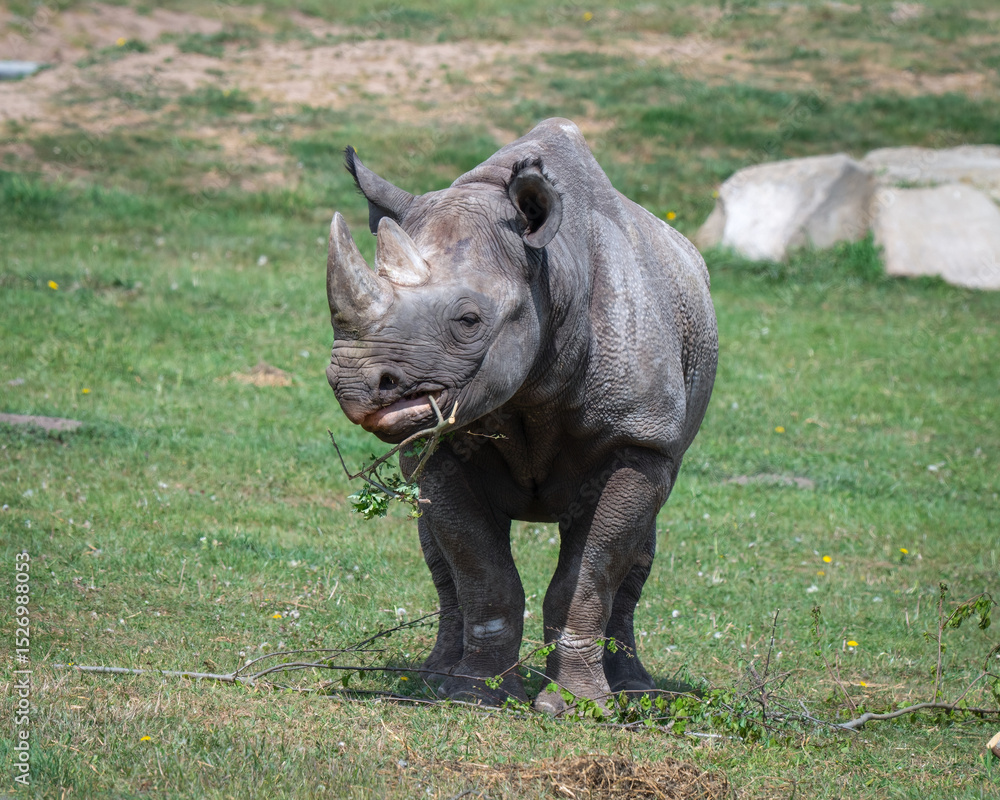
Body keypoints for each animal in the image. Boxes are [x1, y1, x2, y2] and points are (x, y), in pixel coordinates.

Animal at [325, 118, 717, 713]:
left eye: (468, 320)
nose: (353, 383)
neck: (552, 275)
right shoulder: (440, 445)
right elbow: (479, 569)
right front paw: (474, 695)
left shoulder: (639, 438)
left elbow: (591, 573)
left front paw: (579, 708)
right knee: (435, 552)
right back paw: (433, 678)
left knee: (639, 551)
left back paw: (635, 692)